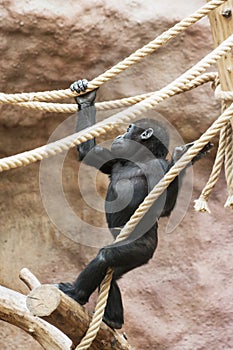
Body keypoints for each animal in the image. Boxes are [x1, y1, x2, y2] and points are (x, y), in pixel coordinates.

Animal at [57, 80, 211, 330]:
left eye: (130, 128)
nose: (121, 133)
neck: (138, 159)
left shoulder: (158, 166)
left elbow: (164, 207)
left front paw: (181, 156)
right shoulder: (115, 159)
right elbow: (89, 152)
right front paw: (85, 98)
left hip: (142, 247)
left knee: (105, 257)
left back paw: (76, 294)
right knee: (112, 273)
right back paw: (113, 318)